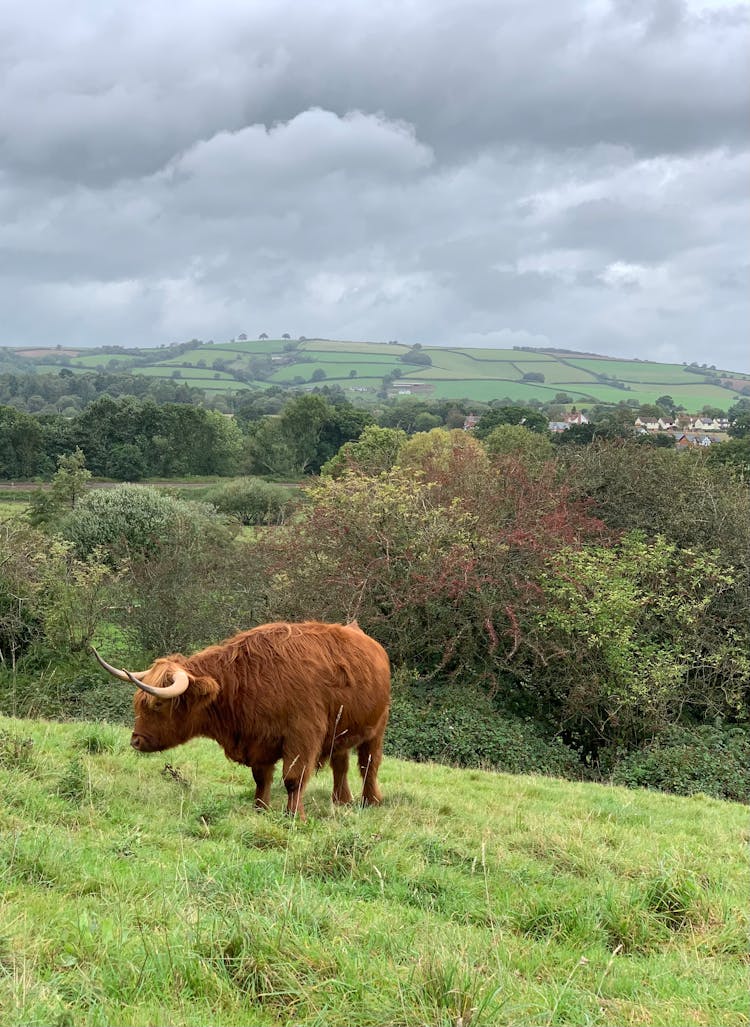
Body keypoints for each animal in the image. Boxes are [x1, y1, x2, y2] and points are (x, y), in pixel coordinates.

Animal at [91, 616, 392, 817]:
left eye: (157, 704)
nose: (136, 740)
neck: (246, 681)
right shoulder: (259, 740)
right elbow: (261, 778)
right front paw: (260, 808)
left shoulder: (302, 736)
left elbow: (293, 778)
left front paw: (294, 816)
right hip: (341, 731)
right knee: (341, 764)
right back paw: (341, 800)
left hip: (376, 728)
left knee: (368, 764)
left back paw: (370, 801)